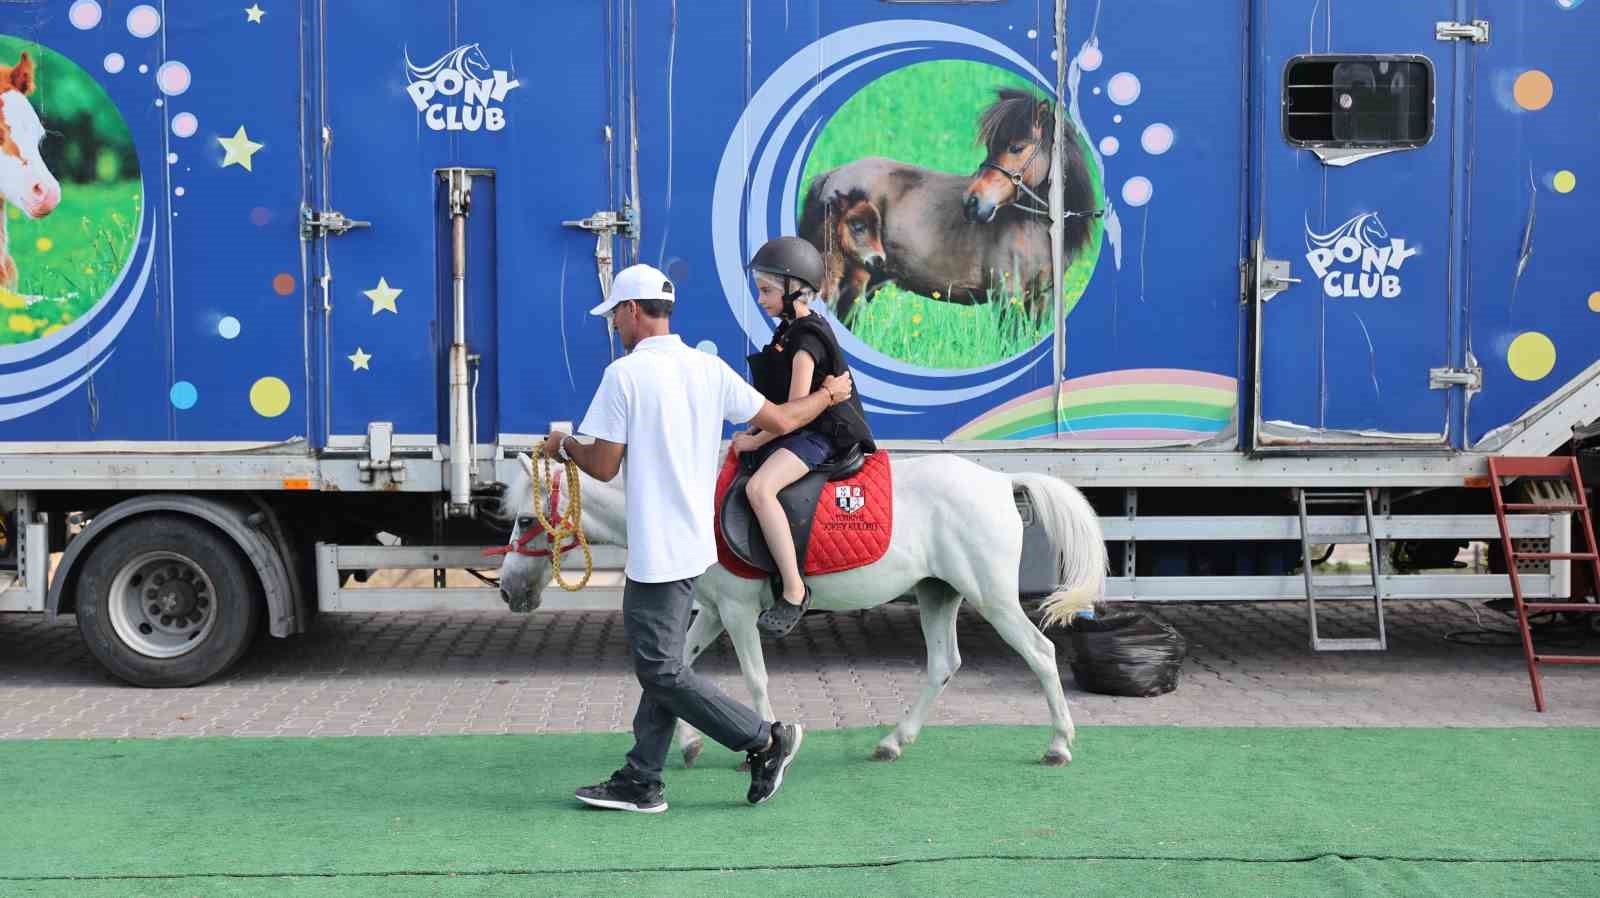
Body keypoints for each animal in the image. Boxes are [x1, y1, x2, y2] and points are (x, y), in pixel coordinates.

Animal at [492, 451, 1107, 768]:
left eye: (524, 520)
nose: (508, 591)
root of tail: (1002, 482)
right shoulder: (711, 611)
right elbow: (678, 669)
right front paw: (690, 744)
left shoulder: (737, 613)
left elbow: (755, 679)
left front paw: (762, 748)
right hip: (938, 592)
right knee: (943, 664)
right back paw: (892, 741)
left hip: (992, 597)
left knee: (1041, 652)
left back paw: (1058, 744)